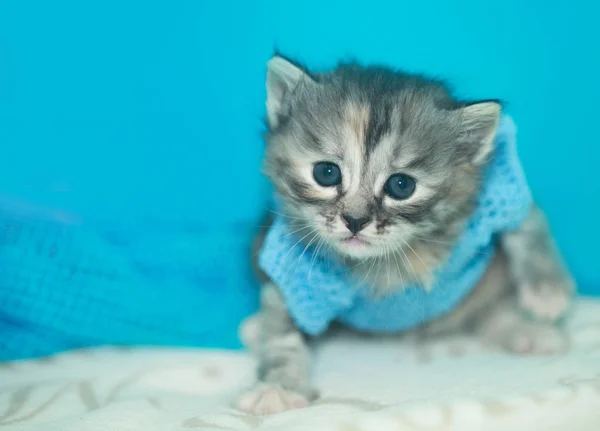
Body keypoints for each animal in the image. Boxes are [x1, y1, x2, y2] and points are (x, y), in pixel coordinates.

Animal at [236, 55, 576, 416]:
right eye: (326, 173)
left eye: (401, 185)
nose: (355, 220)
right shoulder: (294, 266)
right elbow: (281, 329)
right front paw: (276, 385)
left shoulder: (501, 186)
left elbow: (528, 220)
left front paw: (547, 289)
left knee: (489, 314)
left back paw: (527, 330)